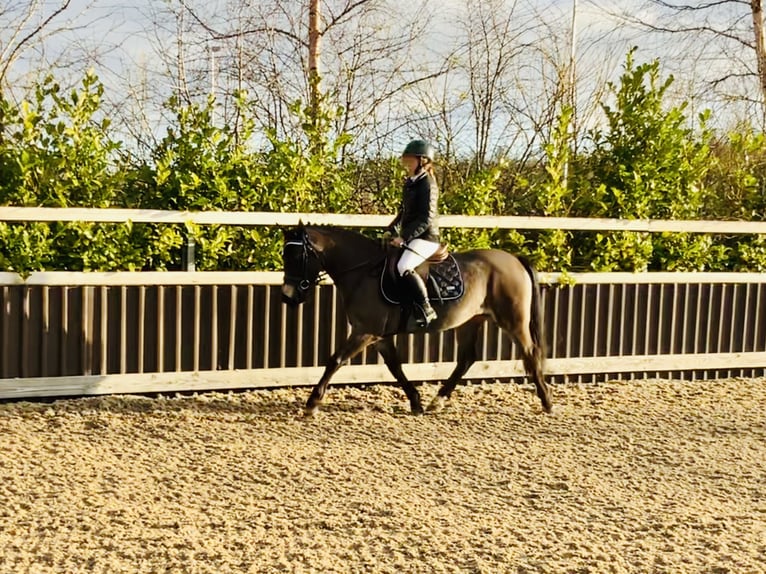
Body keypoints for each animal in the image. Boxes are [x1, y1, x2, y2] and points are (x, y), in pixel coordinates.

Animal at [282, 225, 552, 418]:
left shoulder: (364, 332)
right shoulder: (379, 337)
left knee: (530, 353)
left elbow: (335, 360)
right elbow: (395, 367)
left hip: (514, 321)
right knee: (466, 359)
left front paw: (312, 403)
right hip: (470, 322)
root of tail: (515, 259)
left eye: (296, 257)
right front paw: (416, 402)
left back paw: (547, 402)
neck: (362, 271)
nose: (287, 296)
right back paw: (436, 402)